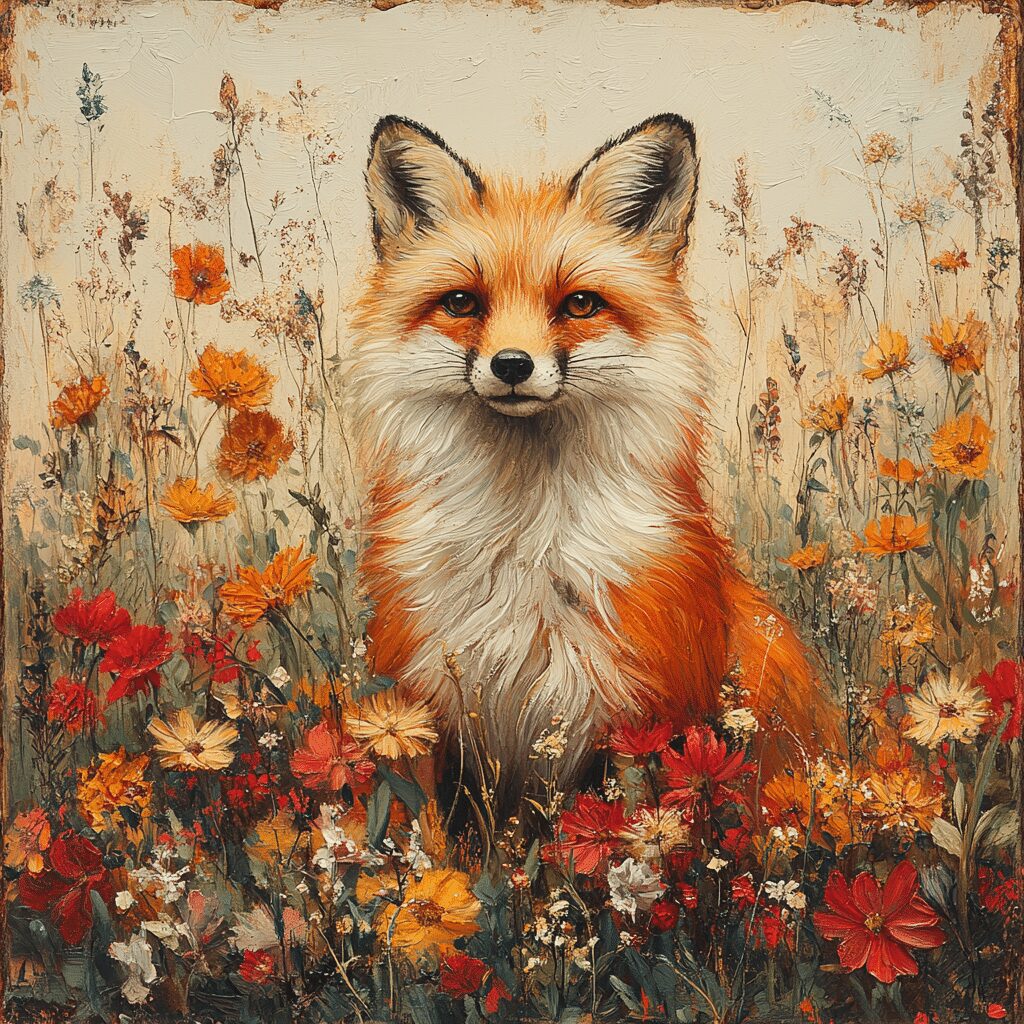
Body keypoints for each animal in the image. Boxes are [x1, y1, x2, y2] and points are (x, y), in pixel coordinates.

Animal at [351, 114, 837, 801]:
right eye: (462, 303)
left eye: (579, 304)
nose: (512, 366)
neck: (525, 541)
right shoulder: (417, 706)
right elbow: (419, 824)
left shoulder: (643, 714)